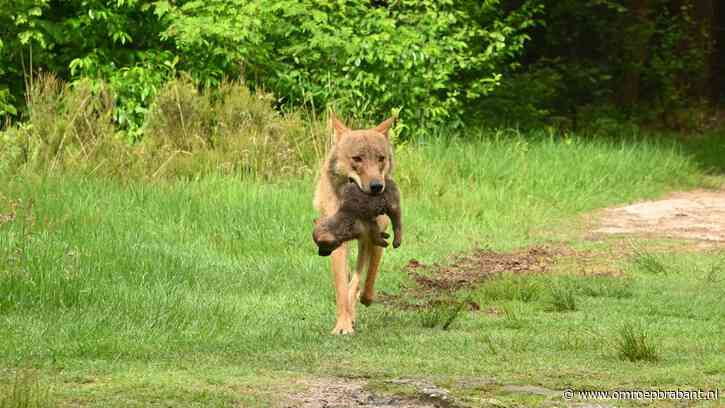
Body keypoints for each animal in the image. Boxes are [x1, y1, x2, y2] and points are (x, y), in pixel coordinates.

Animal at [312, 112, 396, 334]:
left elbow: (364, 279)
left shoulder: (374, 239)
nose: (377, 186)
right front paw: (343, 325)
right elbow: (342, 287)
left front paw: (361, 302)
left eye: (380, 159)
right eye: (357, 159)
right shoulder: (337, 243)